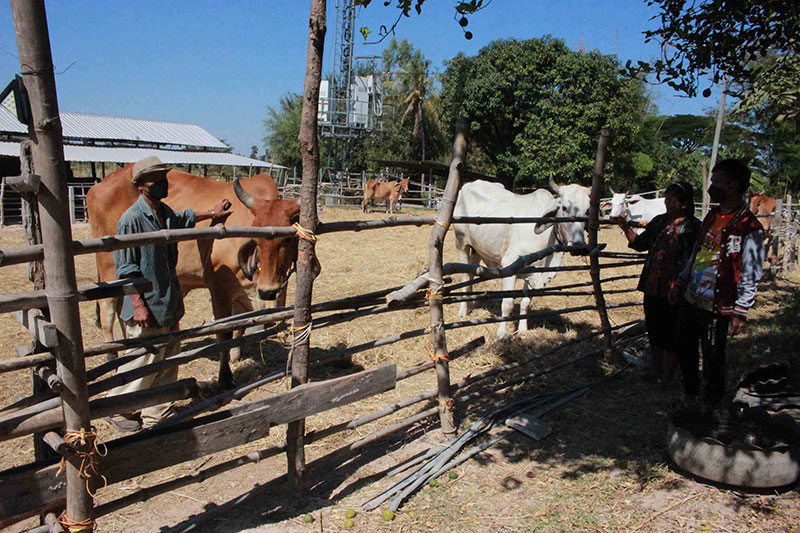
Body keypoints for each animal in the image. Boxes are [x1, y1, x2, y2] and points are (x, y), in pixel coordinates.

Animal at [87, 165, 311, 388]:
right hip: (109, 265)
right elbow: (224, 332)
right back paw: (113, 358)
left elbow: (241, 323)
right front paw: (225, 377)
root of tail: (97, 186)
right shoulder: (219, 287)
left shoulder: (243, 292)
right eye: (256, 238)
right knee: (108, 312)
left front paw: (236, 355)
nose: (268, 291)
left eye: (287, 238)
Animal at [453, 177, 591, 338]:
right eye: (564, 208)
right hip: (461, 242)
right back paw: (463, 310)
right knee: (465, 275)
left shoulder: (534, 272)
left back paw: (471, 304)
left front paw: (523, 330)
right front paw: (502, 333)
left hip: (477, 249)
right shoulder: (510, 266)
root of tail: (468, 185)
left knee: (472, 272)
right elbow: (507, 304)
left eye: (587, 210)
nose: (579, 246)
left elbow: (526, 302)